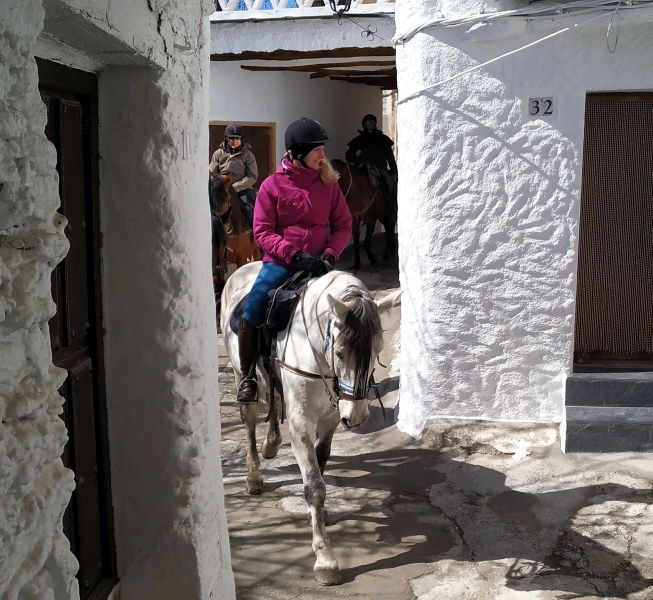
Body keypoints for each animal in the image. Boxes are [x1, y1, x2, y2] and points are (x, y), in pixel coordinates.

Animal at [222, 262, 400, 584]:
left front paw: (320, 515)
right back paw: (254, 475)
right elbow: (314, 485)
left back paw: (271, 444)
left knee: (274, 400)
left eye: (377, 350)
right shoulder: (301, 422)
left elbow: (321, 461)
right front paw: (324, 557)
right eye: (340, 352)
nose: (357, 417)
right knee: (251, 417)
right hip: (241, 374)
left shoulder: (330, 419)